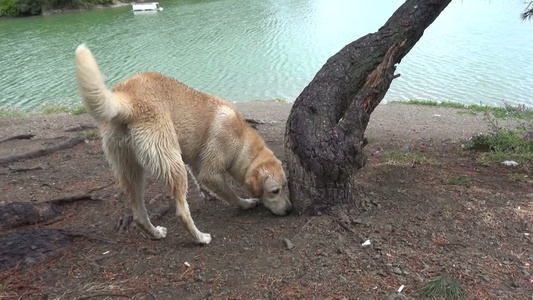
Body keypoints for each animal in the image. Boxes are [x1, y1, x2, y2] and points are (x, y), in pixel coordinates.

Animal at [74, 45, 290, 246]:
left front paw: (208, 194)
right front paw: (244, 203)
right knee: (182, 213)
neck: (242, 143)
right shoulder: (210, 171)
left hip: (131, 171)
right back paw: (200, 238)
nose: (289, 210)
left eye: (285, 186)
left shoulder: (195, 164)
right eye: (275, 191)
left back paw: (155, 233)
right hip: (173, 166)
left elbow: (203, 182)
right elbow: (230, 194)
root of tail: (128, 99)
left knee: (139, 215)